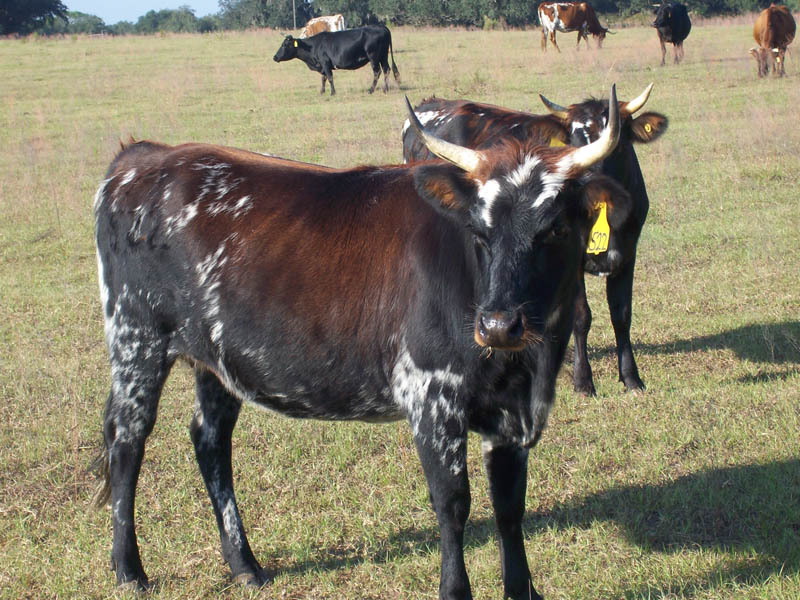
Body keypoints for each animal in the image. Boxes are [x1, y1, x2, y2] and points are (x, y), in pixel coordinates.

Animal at [94, 89, 628, 600]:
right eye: (480, 231)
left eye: (556, 227)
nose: (498, 325)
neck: (525, 369)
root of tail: (145, 156)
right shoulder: (431, 397)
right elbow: (452, 503)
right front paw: (454, 588)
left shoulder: (512, 416)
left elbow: (509, 506)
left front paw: (523, 590)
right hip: (136, 339)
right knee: (127, 441)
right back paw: (129, 570)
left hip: (214, 361)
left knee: (210, 441)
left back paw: (244, 565)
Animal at [400, 83, 668, 394]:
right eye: (571, 140)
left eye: (620, 142)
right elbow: (581, 317)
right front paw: (583, 381)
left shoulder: (627, 254)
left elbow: (621, 314)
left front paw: (631, 378)